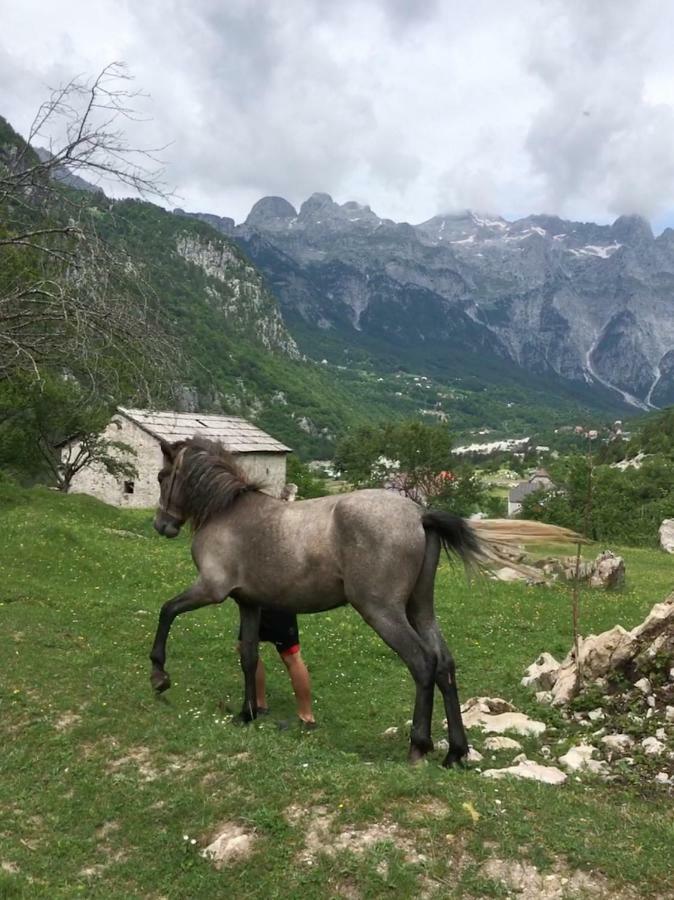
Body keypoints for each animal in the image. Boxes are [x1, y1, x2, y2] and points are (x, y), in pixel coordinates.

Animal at [148, 436, 576, 768]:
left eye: (162, 476)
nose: (162, 526)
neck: (228, 512)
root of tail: (420, 515)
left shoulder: (210, 589)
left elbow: (167, 611)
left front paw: (159, 676)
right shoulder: (249, 604)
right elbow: (249, 658)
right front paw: (247, 714)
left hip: (381, 611)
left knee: (422, 663)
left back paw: (419, 746)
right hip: (420, 609)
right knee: (445, 665)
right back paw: (455, 752)